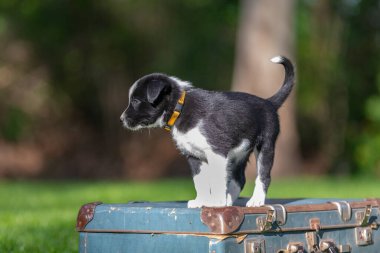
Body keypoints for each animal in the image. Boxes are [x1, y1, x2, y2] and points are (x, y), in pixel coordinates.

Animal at [120, 55, 296, 208]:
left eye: (135, 101)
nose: (121, 119)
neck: (180, 107)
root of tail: (269, 102)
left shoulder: (217, 152)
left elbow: (217, 181)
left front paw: (216, 202)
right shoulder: (193, 155)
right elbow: (200, 181)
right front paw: (202, 201)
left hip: (265, 146)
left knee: (263, 175)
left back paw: (255, 200)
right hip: (239, 153)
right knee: (239, 179)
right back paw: (228, 200)